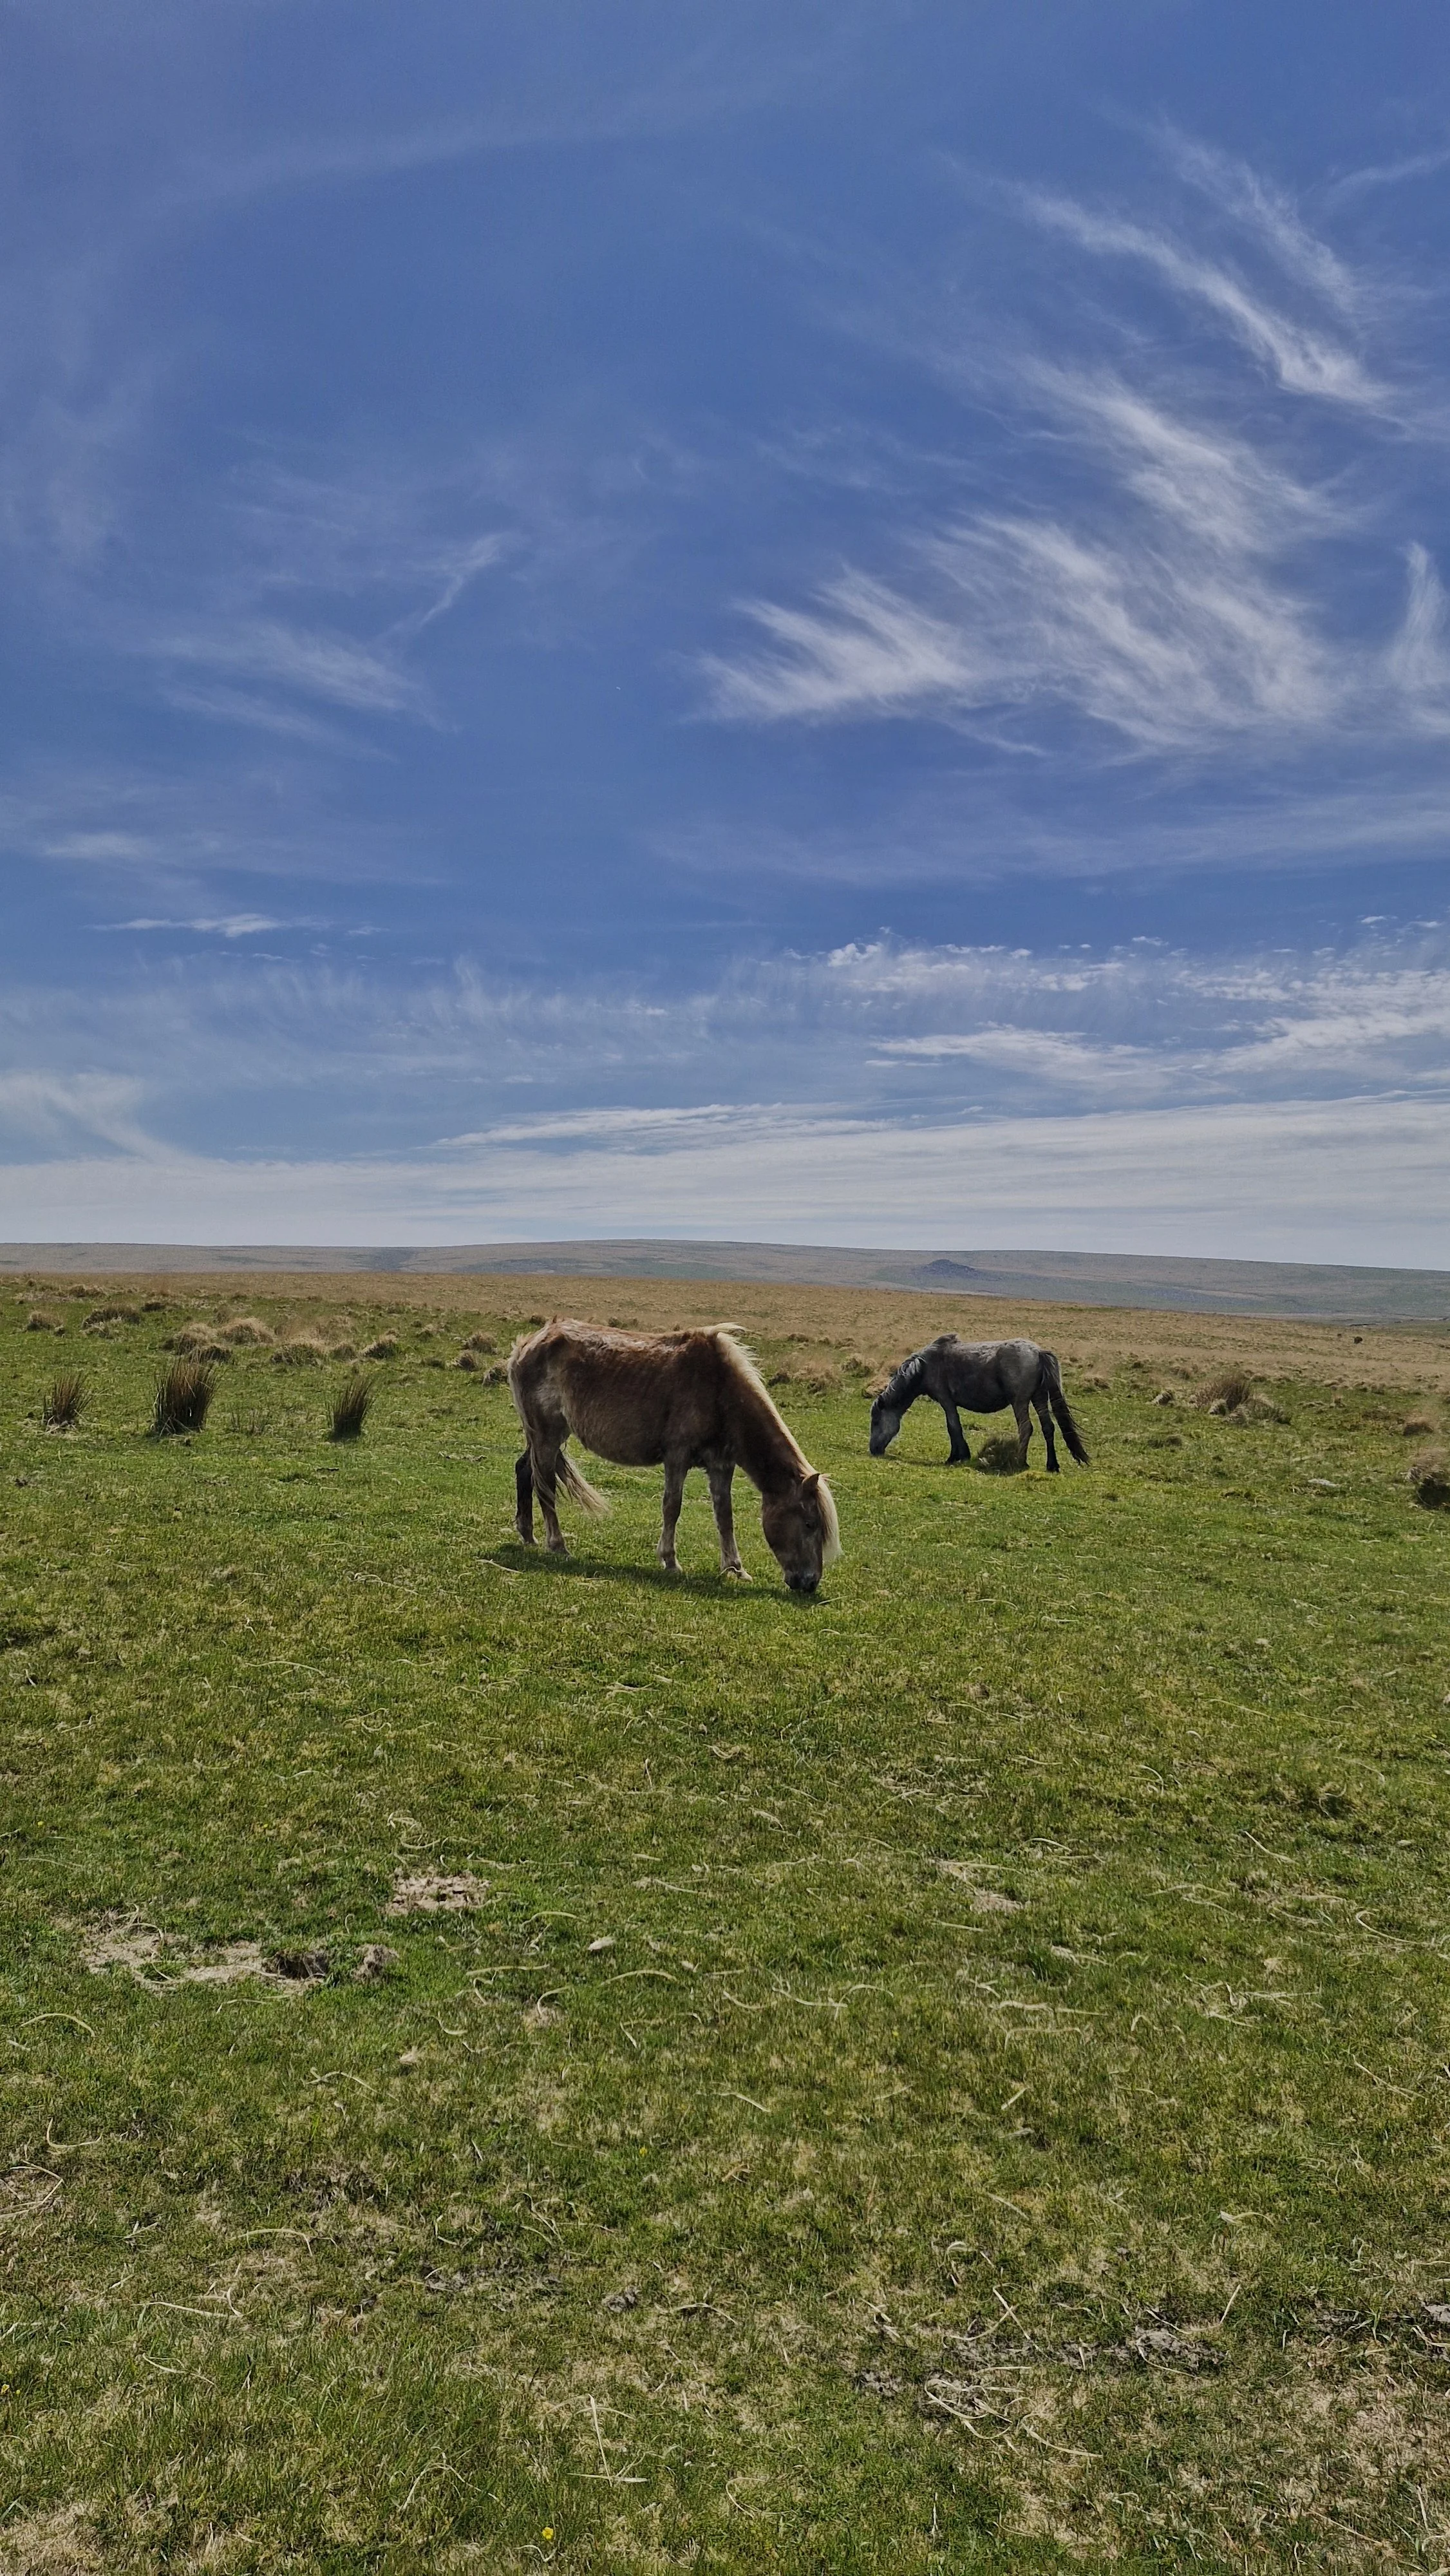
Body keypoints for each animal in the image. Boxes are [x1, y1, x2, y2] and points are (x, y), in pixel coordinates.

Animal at [508, 1319, 841, 1592]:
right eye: (810, 1524)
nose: (810, 1583)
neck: (719, 1390)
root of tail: (527, 1344)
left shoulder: (721, 1465)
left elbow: (725, 1516)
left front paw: (735, 1569)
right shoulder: (677, 1458)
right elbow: (673, 1507)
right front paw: (670, 1561)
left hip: (545, 1437)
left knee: (525, 1470)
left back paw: (528, 1535)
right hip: (547, 1435)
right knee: (546, 1485)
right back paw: (557, 1545)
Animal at [868, 1335, 1089, 1473]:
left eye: (876, 1422)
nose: (873, 1449)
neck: (923, 1367)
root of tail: (1038, 1352)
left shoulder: (946, 1401)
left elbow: (953, 1427)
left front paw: (955, 1457)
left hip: (1020, 1402)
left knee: (1026, 1428)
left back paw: (1020, 1462)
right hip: (1039, 1398)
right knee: (1048, 1428)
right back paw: (1052, 1465)